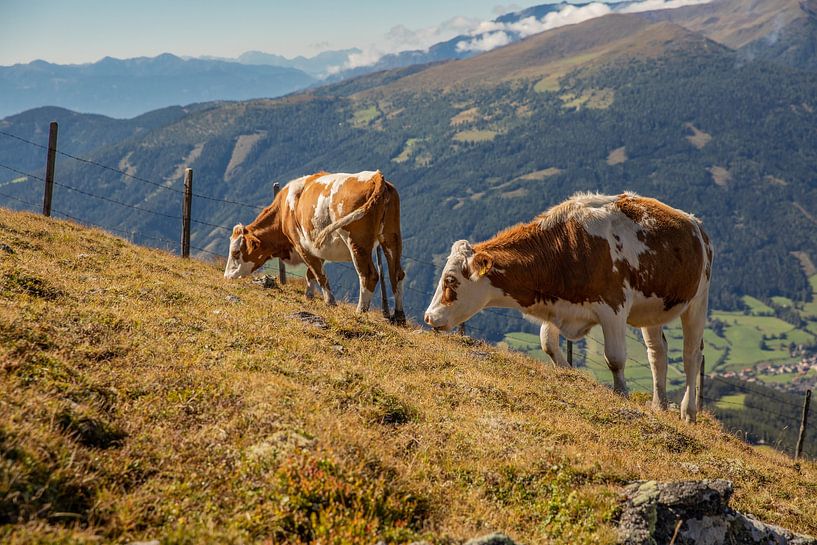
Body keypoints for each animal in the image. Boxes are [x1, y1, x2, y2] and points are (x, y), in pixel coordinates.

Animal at [223, 170, 404, 324]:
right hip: (391, 236)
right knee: (396, 273)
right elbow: (311, 273)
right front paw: (309, 295)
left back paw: (360, 311)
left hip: (356, 242)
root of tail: (375, 176)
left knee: (369, 274)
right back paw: (399, 316)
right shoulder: (317, 248)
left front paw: (330, 301)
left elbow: (318, 274)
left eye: (236, 252)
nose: (226, 276)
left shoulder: (301, 245)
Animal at [424, 193, 712, 422]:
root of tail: (694, 223)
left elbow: (615, 358)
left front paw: (621, 394)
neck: (568, 247)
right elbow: (547, 344)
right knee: (657, 353)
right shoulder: (556, 305)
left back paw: (688, 412)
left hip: (698, 301)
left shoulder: (614, 306)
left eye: (450, 280)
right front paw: (569, 374)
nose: (429, 317)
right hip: (652, 311)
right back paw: (659, 405)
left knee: (691, 356)